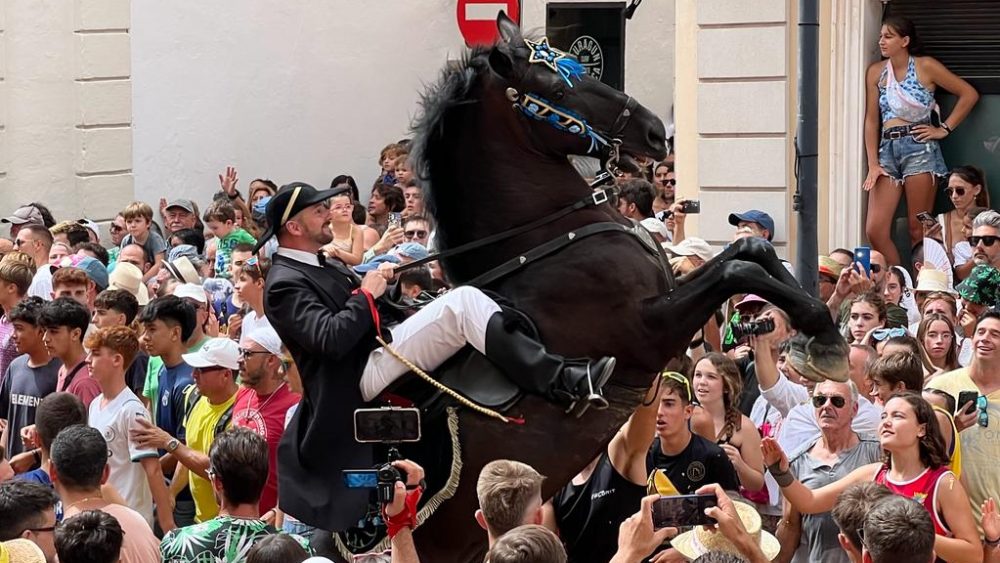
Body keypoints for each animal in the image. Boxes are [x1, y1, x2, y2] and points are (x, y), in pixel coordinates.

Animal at [326, 13, 844, 563]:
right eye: (557, 87)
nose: (655, 131)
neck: (549, 239)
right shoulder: (647, 329)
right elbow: (737, 270)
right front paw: (821, 336)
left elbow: (751, 251)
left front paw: (820, 339)